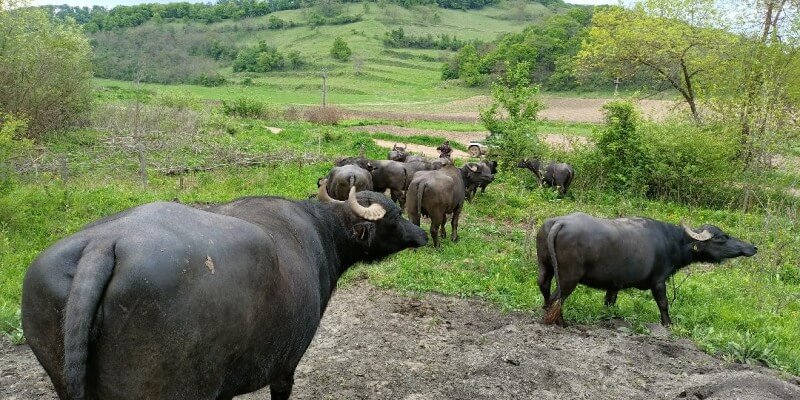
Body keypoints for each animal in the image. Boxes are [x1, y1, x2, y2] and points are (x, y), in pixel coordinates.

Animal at [536, 212, 756, 324]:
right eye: (721, 238)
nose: (752, 247)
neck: (672, 242)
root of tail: (559, 222)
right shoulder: (658, 281)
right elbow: (663, 303)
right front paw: (668, 324)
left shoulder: (614, 284)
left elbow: (609, 302)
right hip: (569, 277)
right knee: (557, 297)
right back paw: (560, 321)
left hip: (545, 266)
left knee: (544, 287)